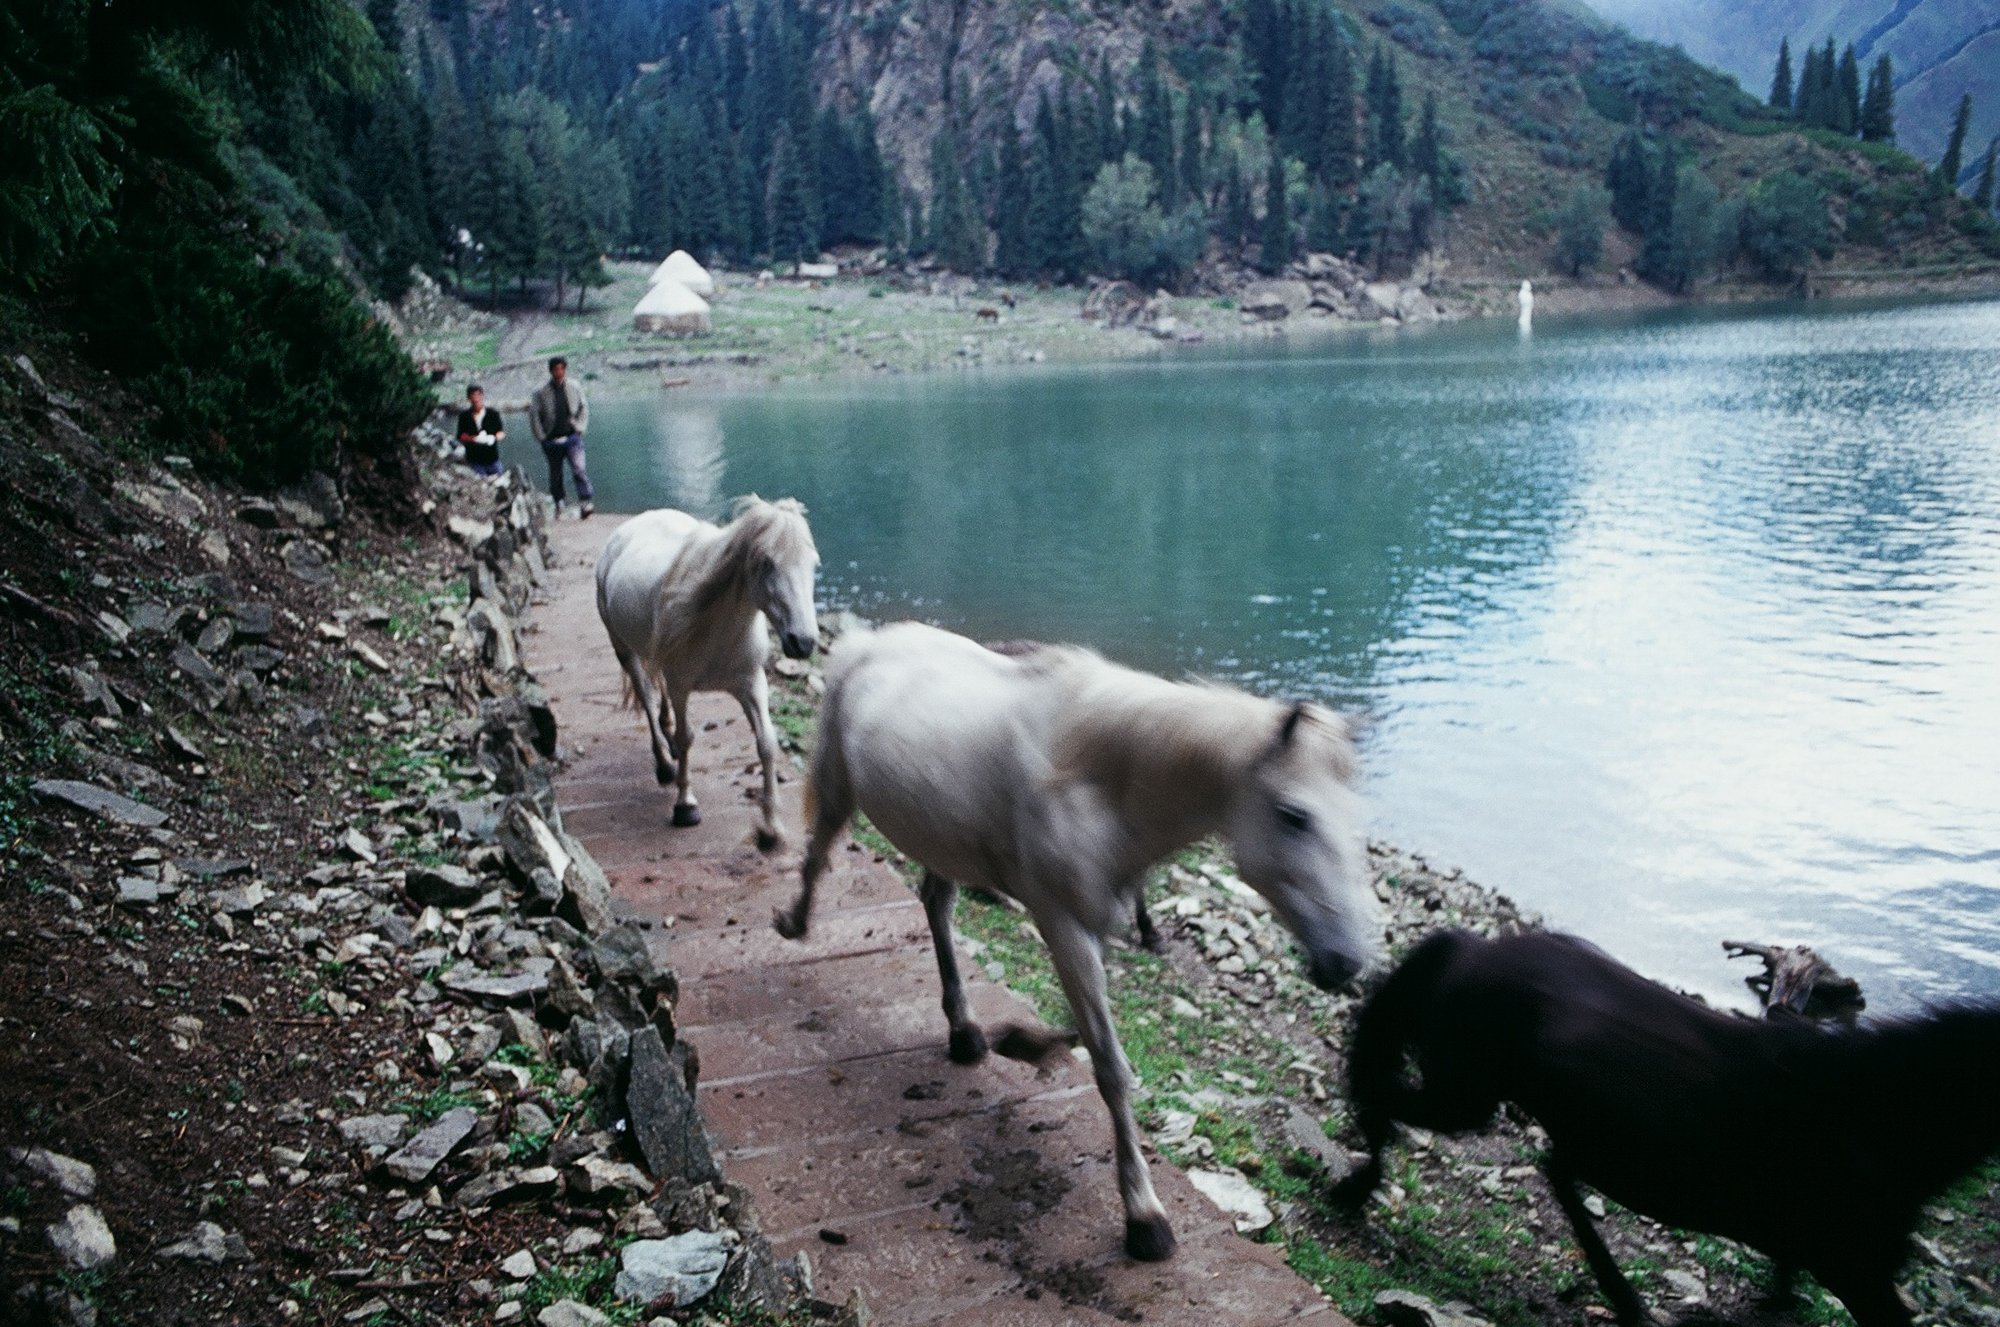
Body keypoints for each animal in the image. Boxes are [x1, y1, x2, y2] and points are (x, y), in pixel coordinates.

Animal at [592, 491, 820, 843]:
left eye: (813, 564)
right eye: (767, 562)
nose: (803, 642)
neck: (717, 626)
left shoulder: (752, 683)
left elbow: (767, 742)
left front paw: (771, 825)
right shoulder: (681, 685)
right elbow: (688, 737)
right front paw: (685, 805)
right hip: (624, 650)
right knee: (646, 694)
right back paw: (664, 763)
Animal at [772, 623, 1384, 1263]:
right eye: (1294, 815)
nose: (1346, 962)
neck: (1099, 779)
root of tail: (869, 638)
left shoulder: (1096, 920)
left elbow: (1088, 1034)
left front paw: (1025, 1043)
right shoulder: (1063, 923)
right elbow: (1110, 1066)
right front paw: (1144, 1216)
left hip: (941, 837)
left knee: (937, 905)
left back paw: (966, 1032)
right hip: (838, 783)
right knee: (819, 852)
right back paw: (794, 921)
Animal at [1336, 931, 2000, 1327]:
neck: (1876, 1109)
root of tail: (1470, 946)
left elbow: (1783, 1292)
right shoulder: (1854, 1265)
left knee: (1558, 1173)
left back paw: (1627, 1301)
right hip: (1464, 1095)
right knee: (1383, 1096)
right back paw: (1355, 1188)